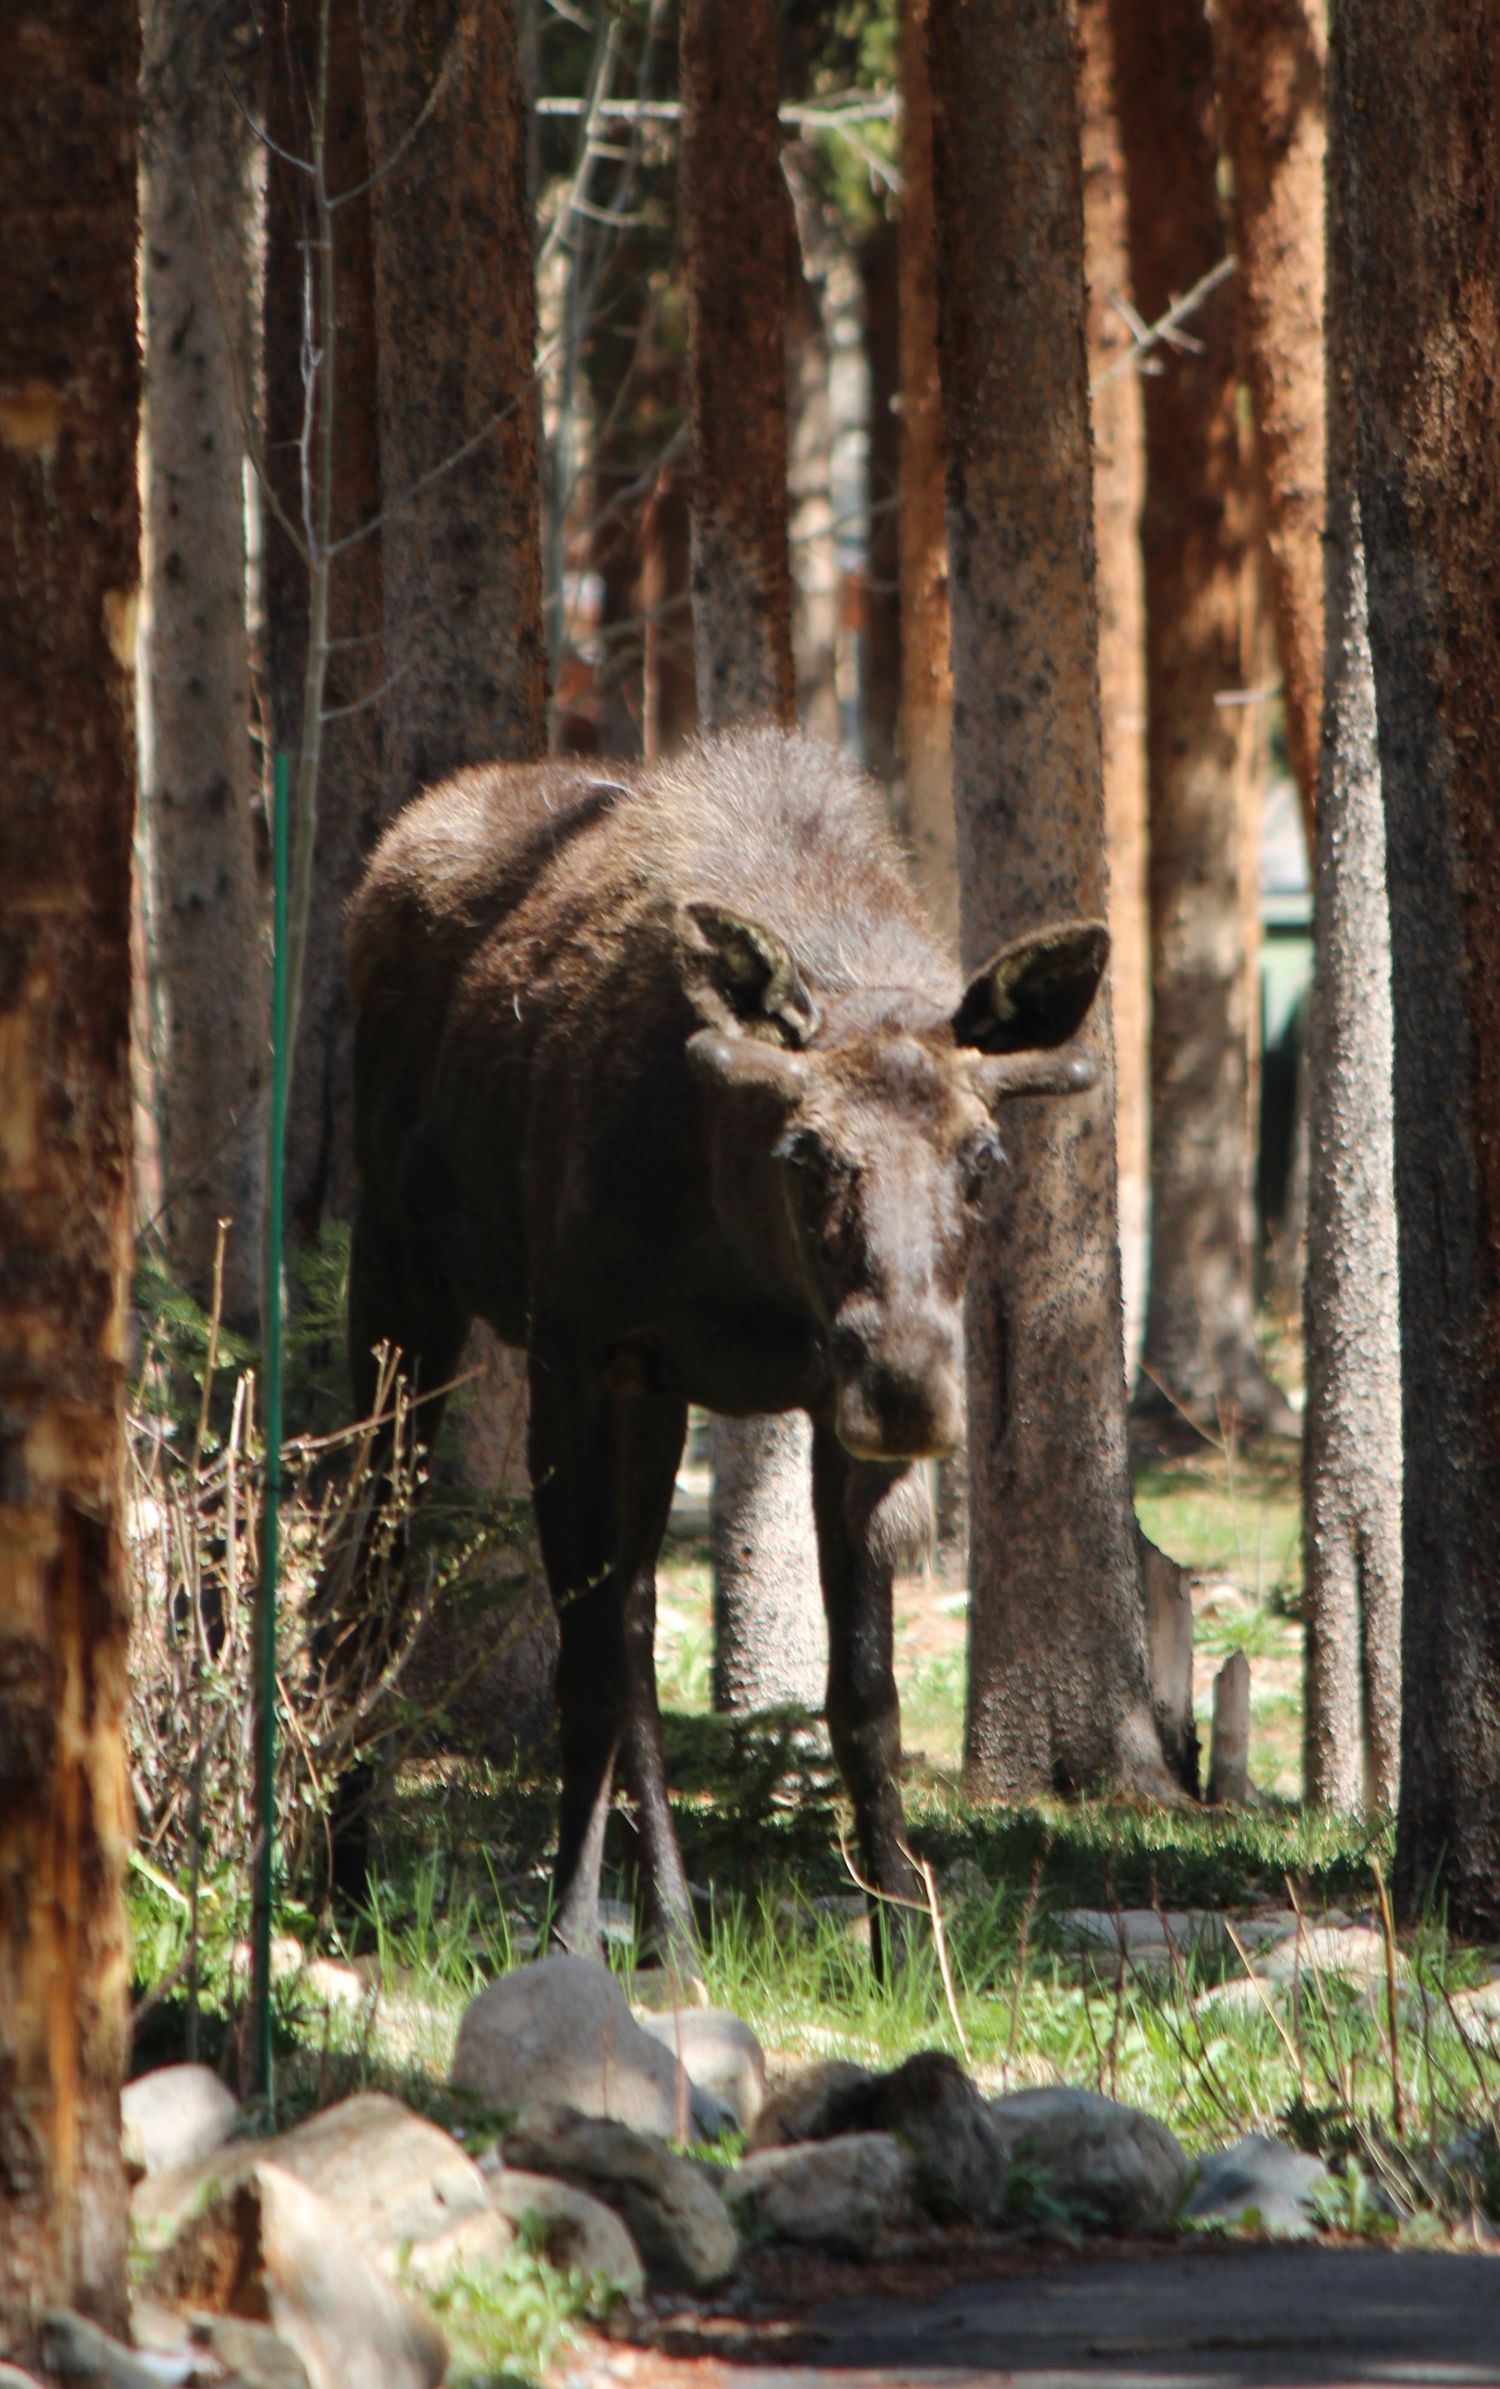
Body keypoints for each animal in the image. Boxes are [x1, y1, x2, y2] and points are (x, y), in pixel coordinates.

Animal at [345, 724, 1107, 1972]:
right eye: (807, 1152)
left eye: (984, 1154)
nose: (910, 1385)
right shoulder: (575, 1356)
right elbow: (584, 1668)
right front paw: (565, 1933)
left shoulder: (808, 1408)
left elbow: (863, 1692)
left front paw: (903, 1941)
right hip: (401, 1275)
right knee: (381, 1557)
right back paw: (343, 1863)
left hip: (655, 1399)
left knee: (642, 1616)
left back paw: (669, 1927)